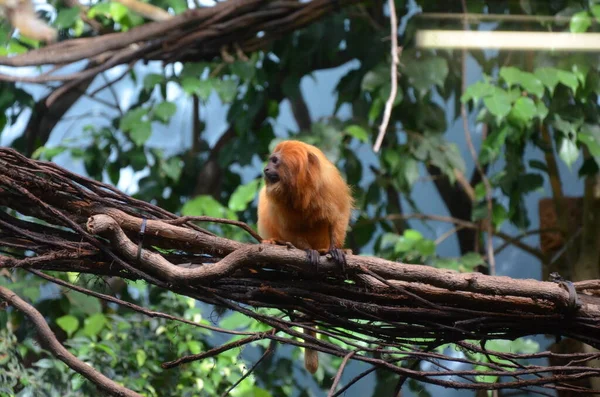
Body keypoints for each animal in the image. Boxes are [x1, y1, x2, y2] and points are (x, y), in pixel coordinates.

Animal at [255, 138, 354, 372]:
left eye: (274, 161)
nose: (265, 169)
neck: (301, 189)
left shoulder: (329, 187)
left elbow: (337, 217)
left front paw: (336, 249)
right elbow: (291, 230)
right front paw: (307, 251)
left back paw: (325, 250)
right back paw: (276, 242)